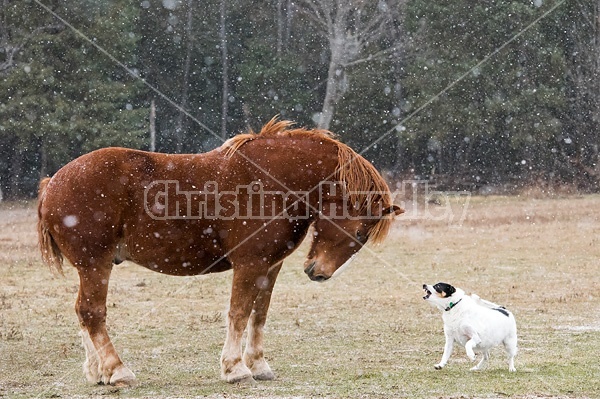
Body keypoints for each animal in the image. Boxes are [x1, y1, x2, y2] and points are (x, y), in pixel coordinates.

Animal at [38, 119, 404, 388]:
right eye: (358, 231)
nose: (318, 272)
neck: (274, 181)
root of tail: (52, 182)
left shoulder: (270, 267)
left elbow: (259, 314)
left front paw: (258, 365)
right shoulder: (249, 264)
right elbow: (239, 313)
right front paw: (235, 368)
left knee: (82, 313)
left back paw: (97, 372)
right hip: (95, 264)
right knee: (92, 312)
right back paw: (116, 370)